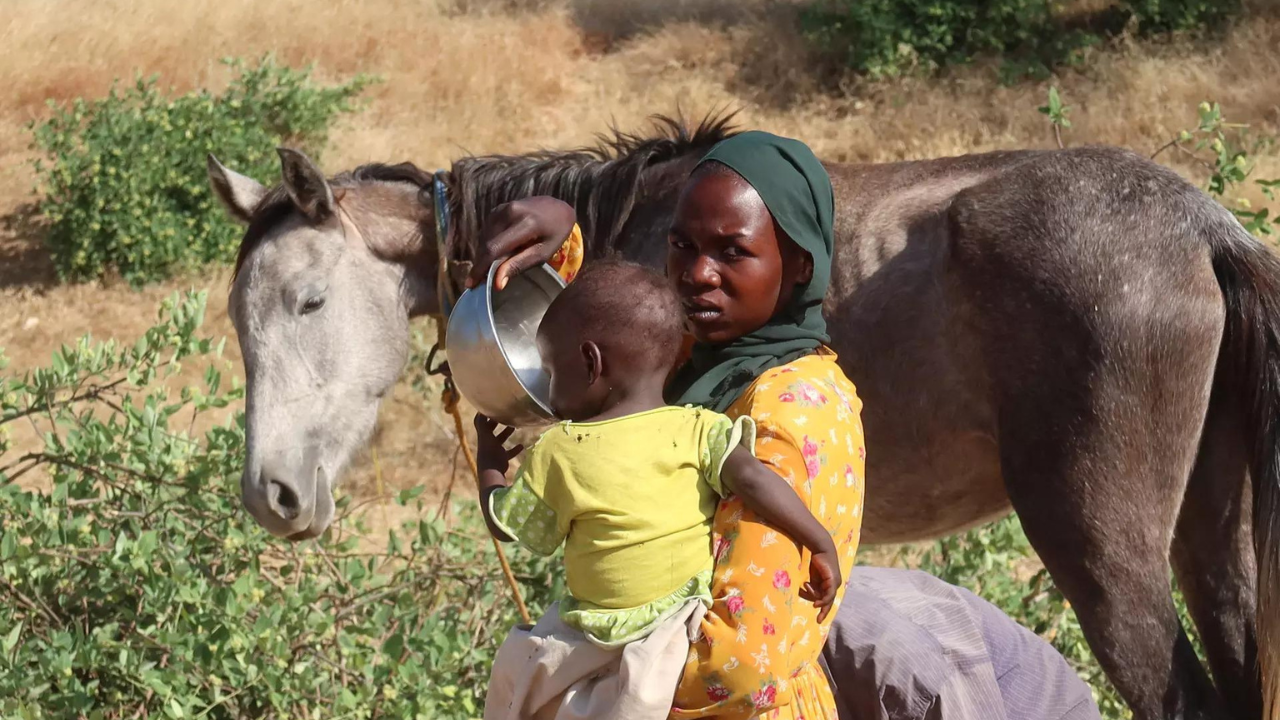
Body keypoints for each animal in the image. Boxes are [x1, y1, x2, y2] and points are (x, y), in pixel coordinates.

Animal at [209, 113, 1280, 717]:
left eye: (308, 301)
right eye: (237, 318)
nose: (271, 496)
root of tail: (1206, 228)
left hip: (1098, 544)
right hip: (1211, 537)